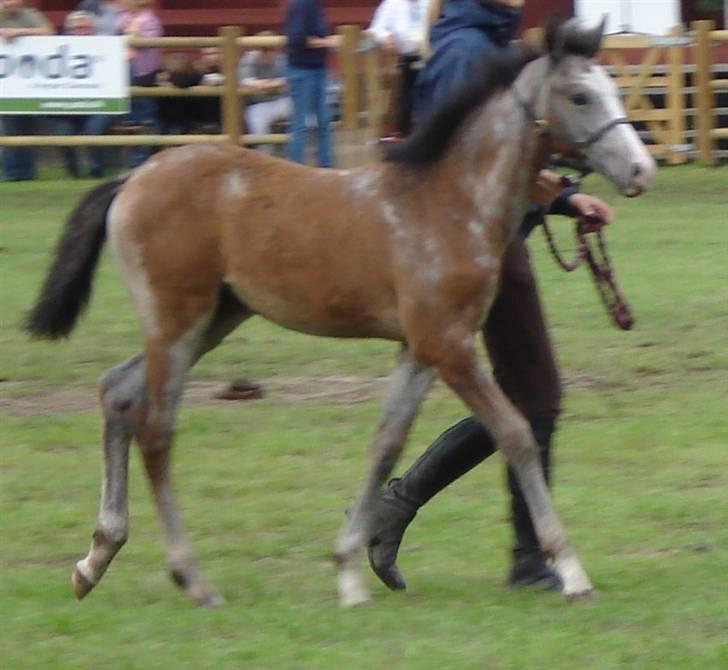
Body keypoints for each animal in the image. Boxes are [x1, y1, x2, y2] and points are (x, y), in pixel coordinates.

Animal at [27, 19, 656, 608]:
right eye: (580, 95)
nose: (642, 170)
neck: (449, 202)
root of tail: (133, 177)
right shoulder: (449, 345)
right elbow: (517, 432)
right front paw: (571, 570)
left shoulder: (420, 349)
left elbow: (385, 444)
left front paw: (350, 569)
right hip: (176, 320)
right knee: (156, 430)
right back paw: (193, 580)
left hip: (213, 320)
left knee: (118, 391)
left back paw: (94, 559)